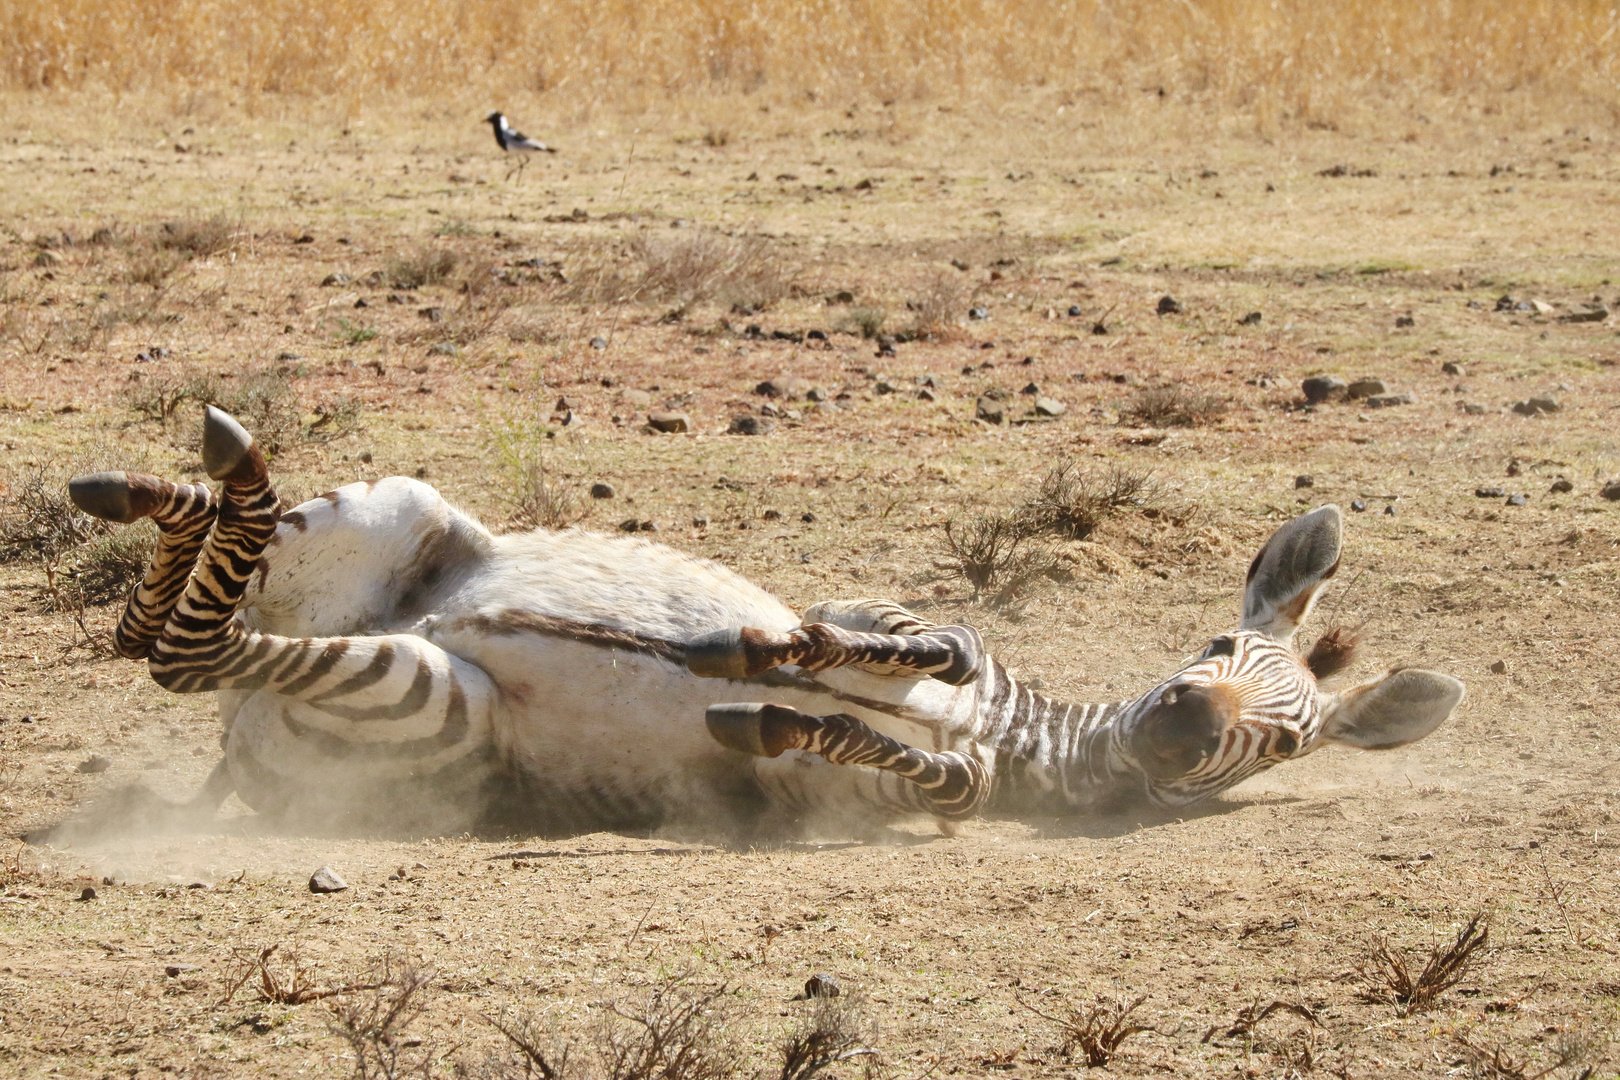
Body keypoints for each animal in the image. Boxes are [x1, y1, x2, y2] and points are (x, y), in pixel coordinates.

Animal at [63, 404, 1464, 835]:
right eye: (1220, 647)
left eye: (1284, 743)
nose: (1180, 727)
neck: (1021, 740)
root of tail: (233, 755)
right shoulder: (881, 606)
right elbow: (924, 637)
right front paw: (757, 652)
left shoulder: (842, 802)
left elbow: (936, 780)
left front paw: (761, 708)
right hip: (395, 517)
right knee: (181, 621)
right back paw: (170, 488)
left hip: (428, 710)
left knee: (182, 653)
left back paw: (184, 514)